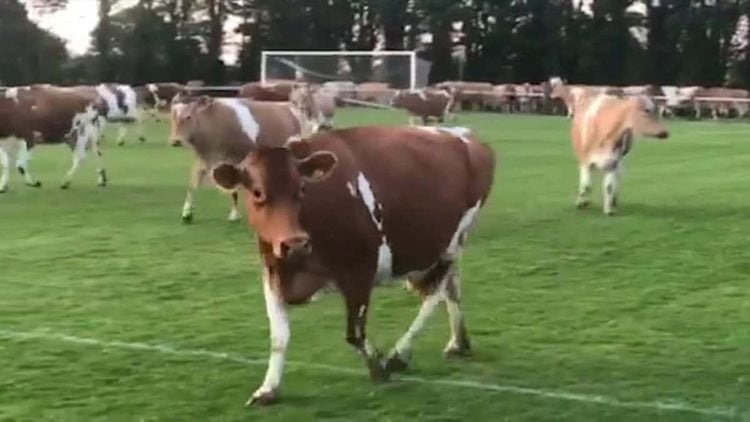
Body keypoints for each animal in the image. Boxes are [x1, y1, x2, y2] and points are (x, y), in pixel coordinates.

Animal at [170, 94, 308, 223]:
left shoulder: (237, 160)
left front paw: (235, 215)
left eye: (188, 117)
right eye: (172, 117)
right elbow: (192, 185)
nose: (175, 141)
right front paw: (186, 213)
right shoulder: (205, 160)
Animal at [209, 125, 496, 406]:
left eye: (301, 189)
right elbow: (279, 336)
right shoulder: (273, 273)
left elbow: (354, 334)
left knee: (435, 294)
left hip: (454, 241)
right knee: (451, 288)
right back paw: (458, 342)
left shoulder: (360, 271)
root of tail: (466, 135)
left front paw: (378, 366)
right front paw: (268, 389)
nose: (296, 243)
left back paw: (400, 354)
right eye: (257, 193)